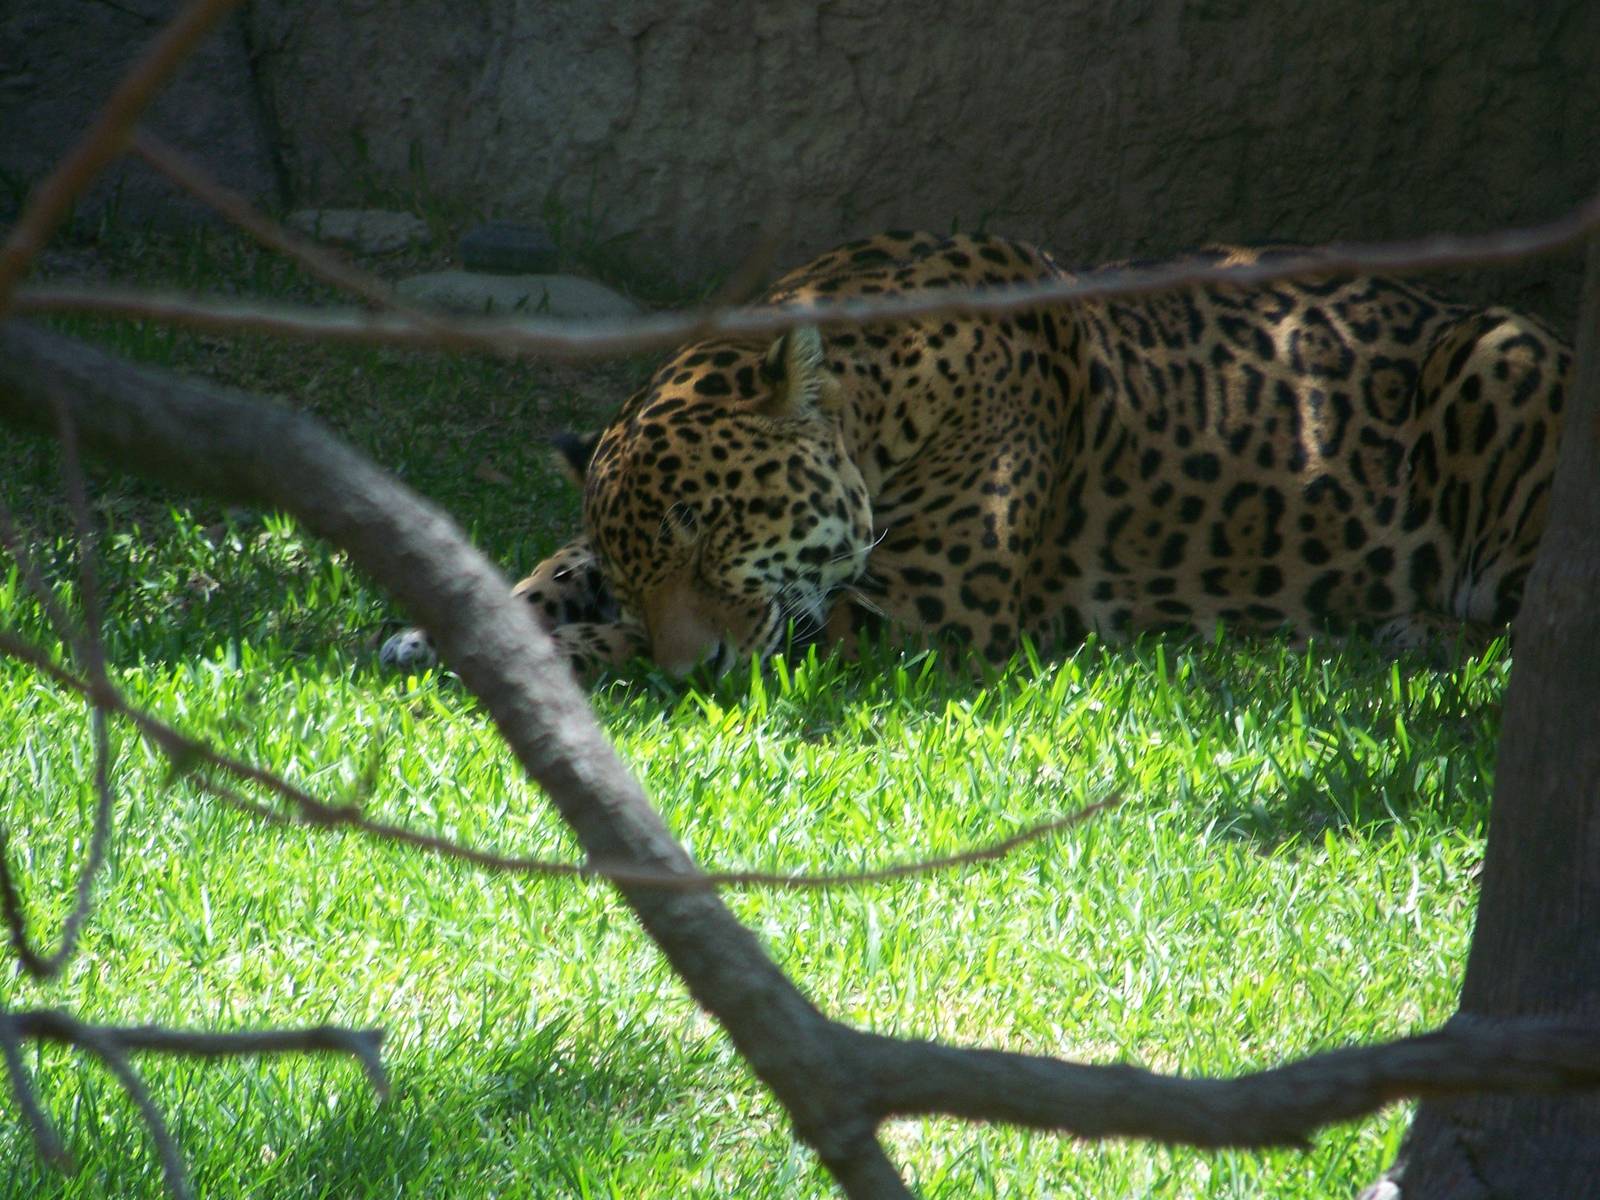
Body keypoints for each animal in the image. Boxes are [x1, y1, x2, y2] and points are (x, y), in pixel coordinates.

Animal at [381, 231, 1570, 681]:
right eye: (637, 564)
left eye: (716, 535)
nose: (694, 674)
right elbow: (556, 572)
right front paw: (433, 624)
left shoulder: (917, 621)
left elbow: (613, 642)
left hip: (1501, 354)